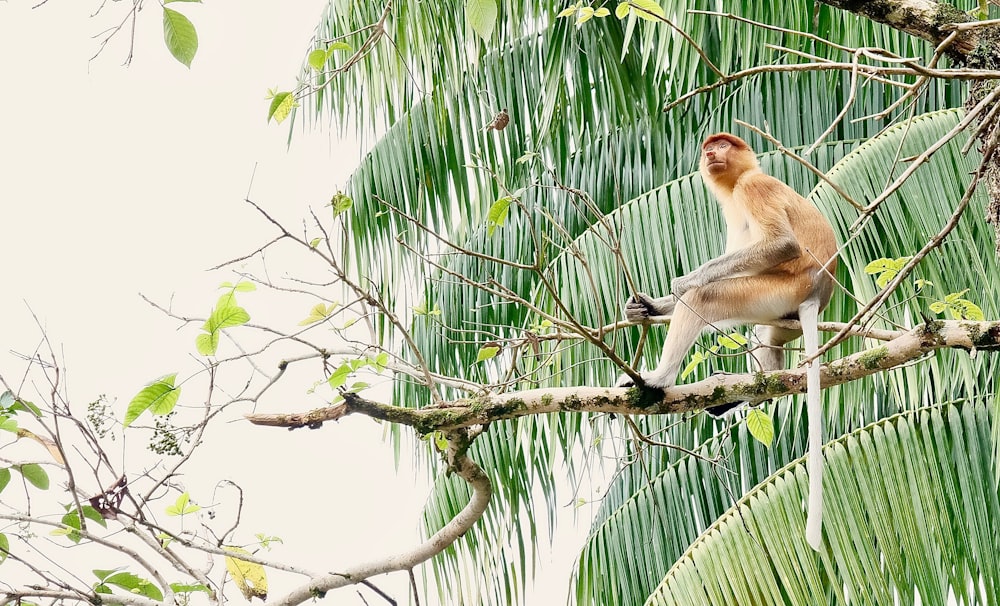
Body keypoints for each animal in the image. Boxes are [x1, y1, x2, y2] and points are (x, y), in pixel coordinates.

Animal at [624, 133, 836, 552]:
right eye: (710, 146)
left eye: (722, 145)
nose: (710, 154)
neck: (739, 180)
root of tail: (817, 295)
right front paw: (648, 306)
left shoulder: (754, 188)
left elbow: (782, 245)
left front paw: (685, 282)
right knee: (766, 343)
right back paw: (755, 386)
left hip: (778, 290)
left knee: (709, 296)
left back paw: (658, 380)